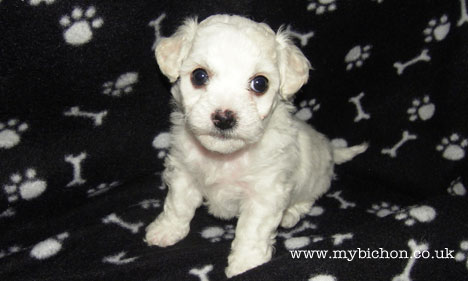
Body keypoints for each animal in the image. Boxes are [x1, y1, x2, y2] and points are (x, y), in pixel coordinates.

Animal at [144, 14, 368, 276]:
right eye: (199, 76)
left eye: (260, 84)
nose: (224, 117)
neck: (224, 157)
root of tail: (331, 150)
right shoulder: (183, 173)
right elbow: (177, 205)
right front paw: (166, 231)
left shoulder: (265, 194)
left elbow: (252, 232)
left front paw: (246, 265)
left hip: (315, 180)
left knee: (307, 199)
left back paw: (290, 214)